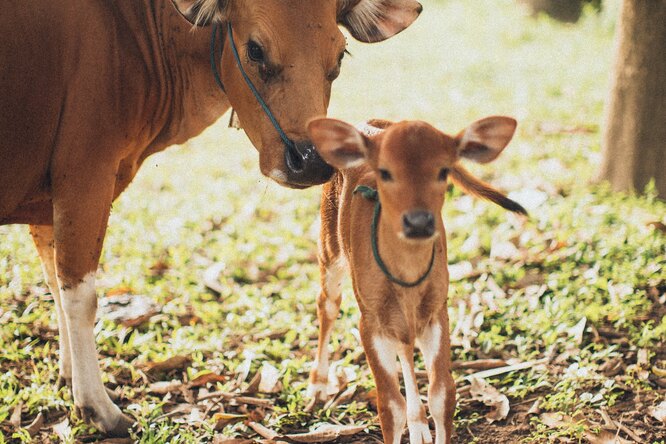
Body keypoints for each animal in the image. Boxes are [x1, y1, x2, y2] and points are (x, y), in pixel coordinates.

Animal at [0, 0, 420, 438]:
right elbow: (80, 296)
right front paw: (97, 406)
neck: (133, 31)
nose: (310, 162)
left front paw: (69, 376)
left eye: (339, 56)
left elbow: (55, 283)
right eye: (255, 50)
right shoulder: (84, 177)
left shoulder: (49, 200)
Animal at [304, 117, 524, 444]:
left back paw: (419, 424)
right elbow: (389, 405)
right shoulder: (370, 322)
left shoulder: (437, 312)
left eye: (443, 170)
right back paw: (318, 385)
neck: (406, 278)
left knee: (406, 347)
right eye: (384, 172)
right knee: (327, 304)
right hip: (329, 248)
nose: (419, 222)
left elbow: (442, 394)